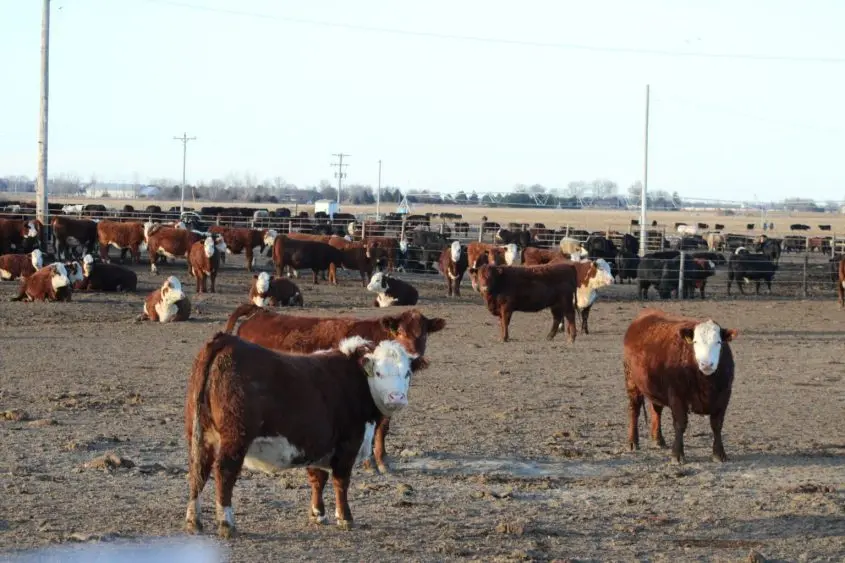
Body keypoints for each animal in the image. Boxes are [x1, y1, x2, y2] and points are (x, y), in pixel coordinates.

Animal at [183, 333, 417, 537]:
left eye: (407, 373)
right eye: (378, 373)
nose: (396, 397)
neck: (356, 379)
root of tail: (226, 340)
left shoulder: (318, 444)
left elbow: (318, 478)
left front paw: (317, 514)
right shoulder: (348, 443)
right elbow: (341, 481)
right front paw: (345, 518)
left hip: (200, 434)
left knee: (198, 471)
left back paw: (194, 520)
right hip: (235, 438)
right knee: (224, 472)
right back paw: (227, 524)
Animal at [223, 305, 445, 474]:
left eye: (424, 335)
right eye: (400, 332)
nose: (415, 355)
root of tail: (260, 312)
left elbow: (383, 428)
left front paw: (382, 461)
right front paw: (370, 463)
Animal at [624, 309, 738, 463]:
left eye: (718, 342)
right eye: (695, 342)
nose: (706, 364)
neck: (706, 383)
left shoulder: (724, 395)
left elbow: (717, 424)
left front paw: (719, 454)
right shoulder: (677, 396)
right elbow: (680, 424)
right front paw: (677, 455)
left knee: (656, 410)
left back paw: (658, 439)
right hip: (631, 381)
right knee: (634, 411)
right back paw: (632, 442)